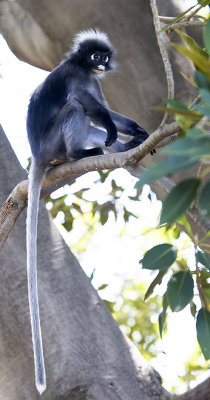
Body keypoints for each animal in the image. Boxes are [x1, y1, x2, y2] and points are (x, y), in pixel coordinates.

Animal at [25, 28, 154, 394]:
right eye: (94, 56)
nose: (101, 64)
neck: (84, 69)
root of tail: (38, 154)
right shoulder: (76, 76)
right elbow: (94, 107)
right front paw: (114, 128)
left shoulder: (92, 79)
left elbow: (106, 110)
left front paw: (135, 131)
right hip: (53, 142)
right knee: (76, 107)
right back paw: (78, 154)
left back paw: (120, 147)